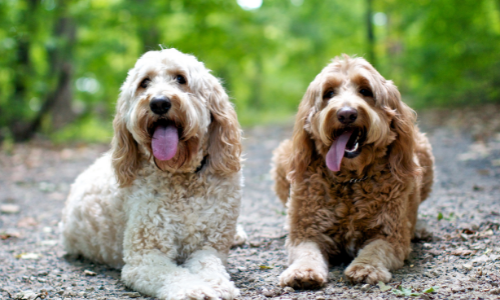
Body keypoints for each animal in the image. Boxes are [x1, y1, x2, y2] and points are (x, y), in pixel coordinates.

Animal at [59, 48, 243, 298]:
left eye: (180, 78)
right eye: (144, 83)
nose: (159, 103)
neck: (181, 177)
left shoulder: (209, 246)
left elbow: (209, 266)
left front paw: (217, 284)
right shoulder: (144, 257)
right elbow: (174, 275)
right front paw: (194, 290)